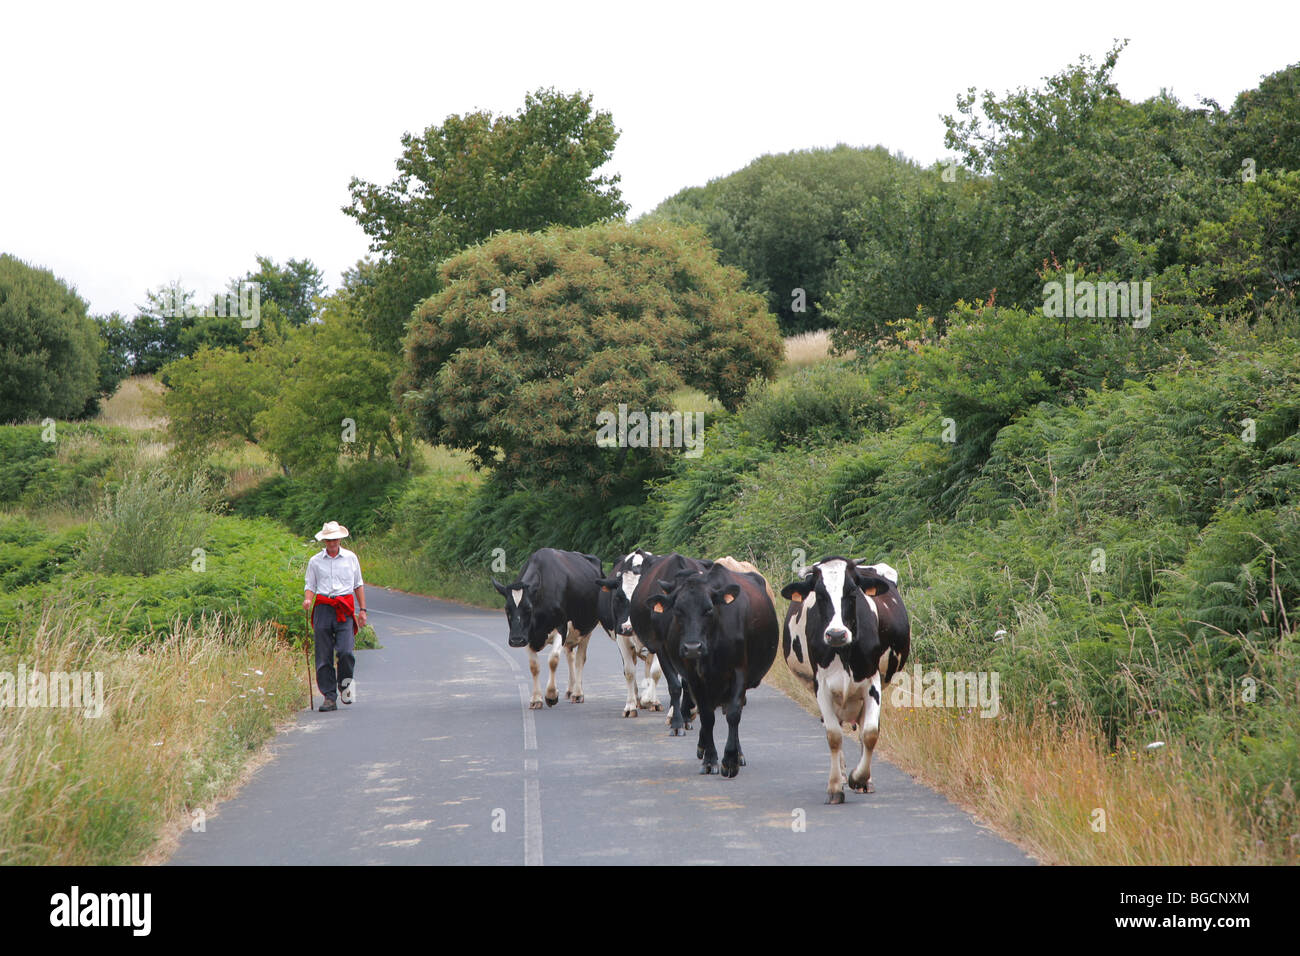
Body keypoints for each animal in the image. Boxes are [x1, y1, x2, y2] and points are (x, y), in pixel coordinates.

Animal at [491, 546, 603, 712]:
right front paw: (536, 699)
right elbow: (534, 666)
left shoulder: (561, 628)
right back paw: (570, 690)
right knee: (570, 656)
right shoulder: (528, 635)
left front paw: (551, 695)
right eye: (507, 609)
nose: (516, 640)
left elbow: (553, 660)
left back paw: (577, 693)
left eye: (528, 608)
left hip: (586, 628)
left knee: (579, 659)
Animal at [644, 561, 774, 780]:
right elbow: (706, 717)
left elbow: (733, 714)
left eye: (708, 609)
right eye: (678, 610)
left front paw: (730, 760)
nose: (692, 647)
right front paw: (710, 759)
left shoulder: (739, 672)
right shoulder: (694, 676)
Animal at [780, 556, 915, 806]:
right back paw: (842, 774)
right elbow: (834, 736)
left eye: (852, 591)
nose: (836, 634)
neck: (843, 653)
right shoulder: (820, 686)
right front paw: (835, 786)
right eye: (819, 594)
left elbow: (870, 733)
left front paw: (859, 778)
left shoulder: (873, 682)